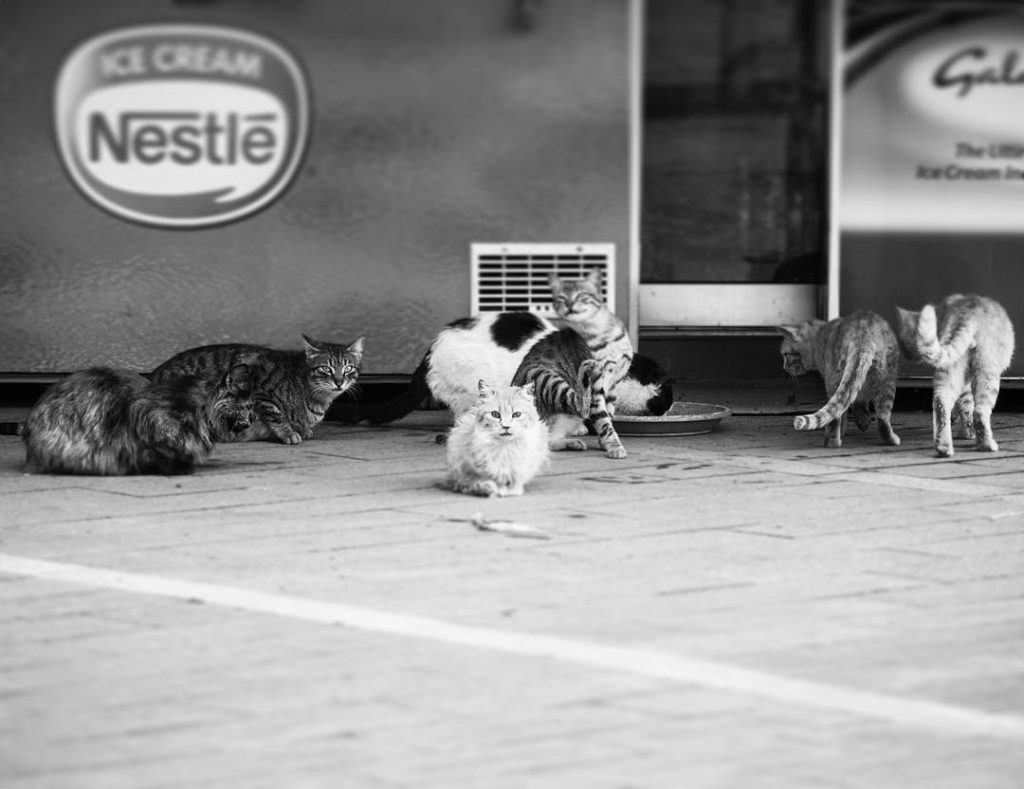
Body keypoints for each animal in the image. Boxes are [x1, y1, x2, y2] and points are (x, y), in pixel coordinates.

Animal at [149, 333, 362, 444]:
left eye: (348, 368)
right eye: (326, 368)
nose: (339, 382)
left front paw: (302, 429)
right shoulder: (262, 393)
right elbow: (277, 417)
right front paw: (289, 433)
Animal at [509, 327, 622, 460]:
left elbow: (605, 418)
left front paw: (607, 443)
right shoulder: (596, 391)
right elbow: (604, 421)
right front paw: (616, 447)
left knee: (549, 442)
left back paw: (573, 443)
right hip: (544, 377)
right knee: (580, 406)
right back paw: (584, 373)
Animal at [778, 311, 901, 448]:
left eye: (786, 355)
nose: (784, 368)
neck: (819, 335)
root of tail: (863, 336)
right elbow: (858, 400)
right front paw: (863, 420)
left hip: (835, 378)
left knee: (837, 415)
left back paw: (833, 440)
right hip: (886, 378)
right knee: (882, 416)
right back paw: (890, 439)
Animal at [897, 294, 1015, 456]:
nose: (906, 355)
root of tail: (967, 311)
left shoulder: (964, 384)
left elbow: (964, 406)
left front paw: (965, 433)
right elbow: (969, 408)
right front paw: (968, 433)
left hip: (949, 372)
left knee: (941, 404)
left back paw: (943, 447)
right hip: (987, 372)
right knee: (980, 412)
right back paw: (986, 445)